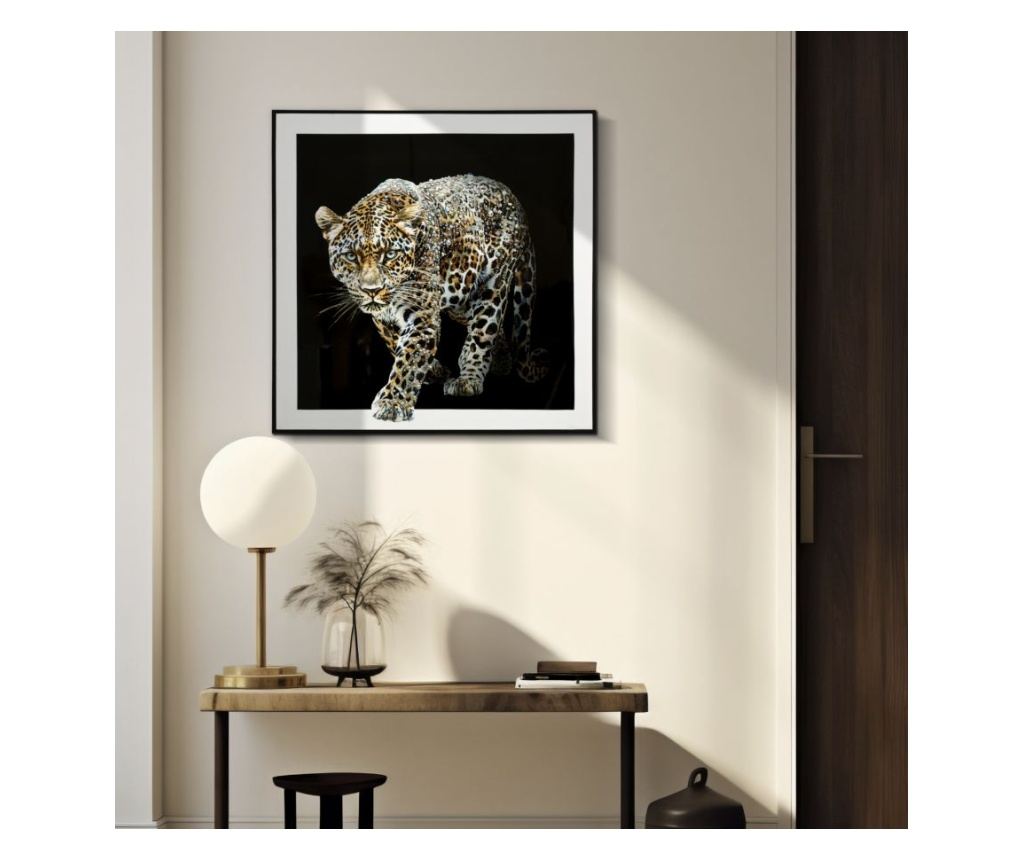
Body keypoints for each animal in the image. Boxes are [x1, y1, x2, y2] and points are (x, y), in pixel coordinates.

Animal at [315, 174, 547, 422]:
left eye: (390, 254)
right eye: (351, 256)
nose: (372, 290)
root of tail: (514, 198)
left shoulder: (423, 315)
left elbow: (409, 357)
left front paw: (392, 402)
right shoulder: (383, 318)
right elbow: (395, 342)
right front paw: (433, 371)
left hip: (493, 284)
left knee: (483, 330)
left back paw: (469, 379)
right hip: (460, 295)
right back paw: (501, 361)